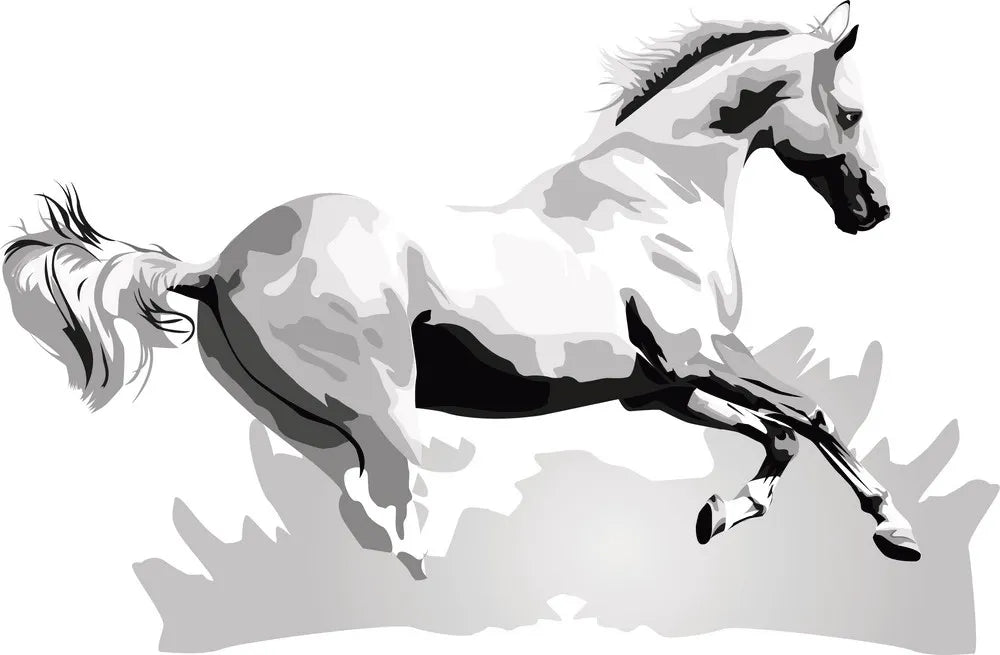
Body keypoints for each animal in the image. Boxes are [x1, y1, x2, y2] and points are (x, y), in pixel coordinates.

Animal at [2, 1, 918, 579]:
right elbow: (814, 414)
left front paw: (721, 512)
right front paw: (894, 527)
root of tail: (216, 267)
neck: (657, 191)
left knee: (368, 522)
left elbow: (781, 435)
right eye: (851, 113)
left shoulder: (661, 388)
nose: (875, 210)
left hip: (314, 431)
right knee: (402, 520)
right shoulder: (705, 357)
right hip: (383, 416)